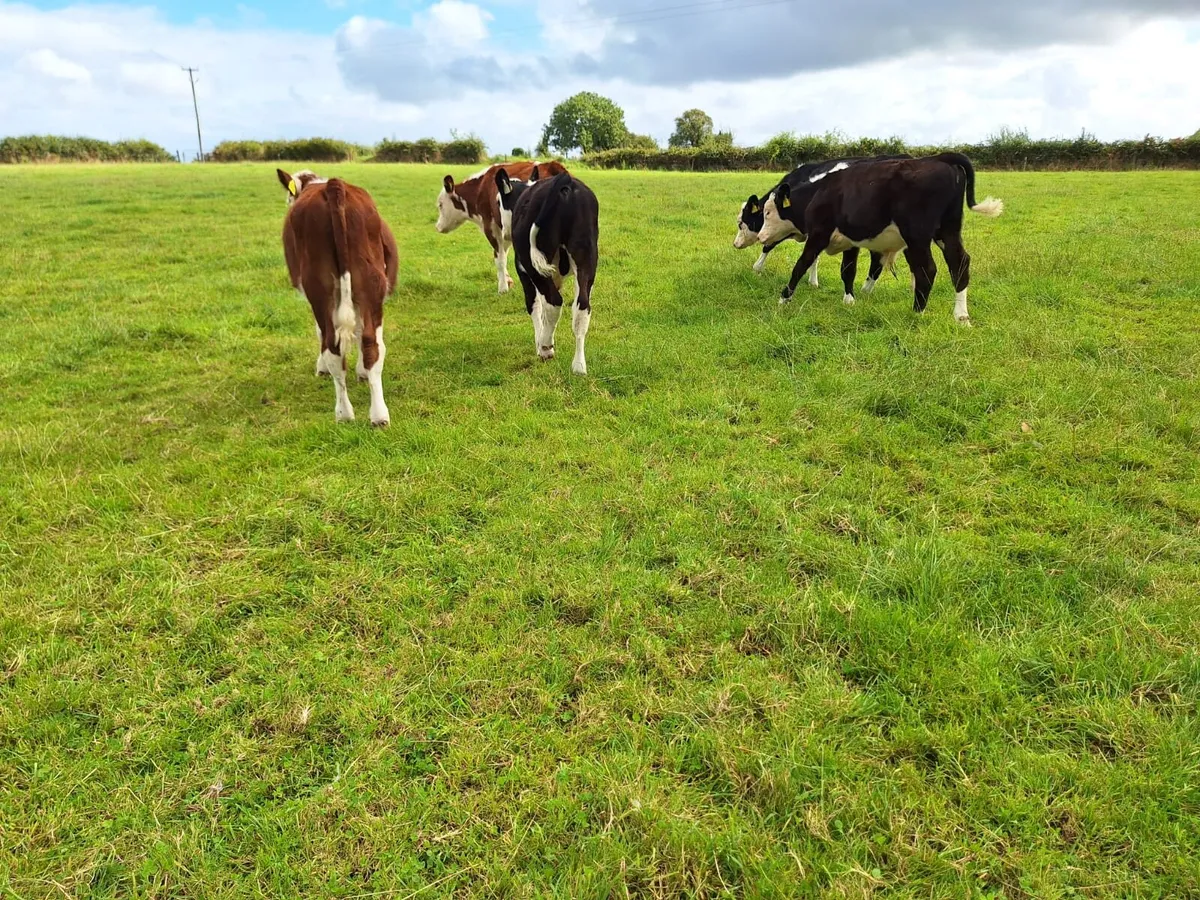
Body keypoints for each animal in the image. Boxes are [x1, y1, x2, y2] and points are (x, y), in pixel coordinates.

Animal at [277, 168, 399, 425]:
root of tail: (333, 186)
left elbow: (320, 332)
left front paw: (322, 368)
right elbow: (360, 331)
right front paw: (362, 372)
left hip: (319, 287)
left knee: (331, 344)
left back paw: (344, 413)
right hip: (371, 282)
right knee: (372, 343)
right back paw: (378, 415)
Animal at [436, 160, 568, 294]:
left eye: (440, 205)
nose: (437, 227)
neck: (480, 187)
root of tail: (552, 165)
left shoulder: (491, 226)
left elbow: (499, 257)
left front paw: (503, 288)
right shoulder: (505, 229)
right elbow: (503, 252)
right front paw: (507, 280)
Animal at [507, 172, 599, 375]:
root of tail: (565, 181)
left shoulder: (523, 271)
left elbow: (535, 306)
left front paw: (539, 342)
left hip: (533, 265)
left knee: (554, 302)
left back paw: (545, 347)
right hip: (586, 258)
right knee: (582, 306)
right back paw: (579, 366)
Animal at [733, 155, 912, 292]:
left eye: (741, 223)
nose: (735, 244)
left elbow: (770, 245)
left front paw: (757, 267)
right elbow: (813, 257)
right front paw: (813, 281)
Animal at [758, 153, 1003, 323]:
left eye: (768, 212)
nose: (760, 236)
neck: (819, 192)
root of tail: (938, 158)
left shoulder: (819, 234)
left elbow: (801, 265)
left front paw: (784, 299)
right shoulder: (850, 241)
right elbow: (848, 270)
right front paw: (850, 300)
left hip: (917, 236)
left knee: (927, 269)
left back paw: (918, 311)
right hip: (948, 231)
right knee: (959, 263)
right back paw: (961, 316)